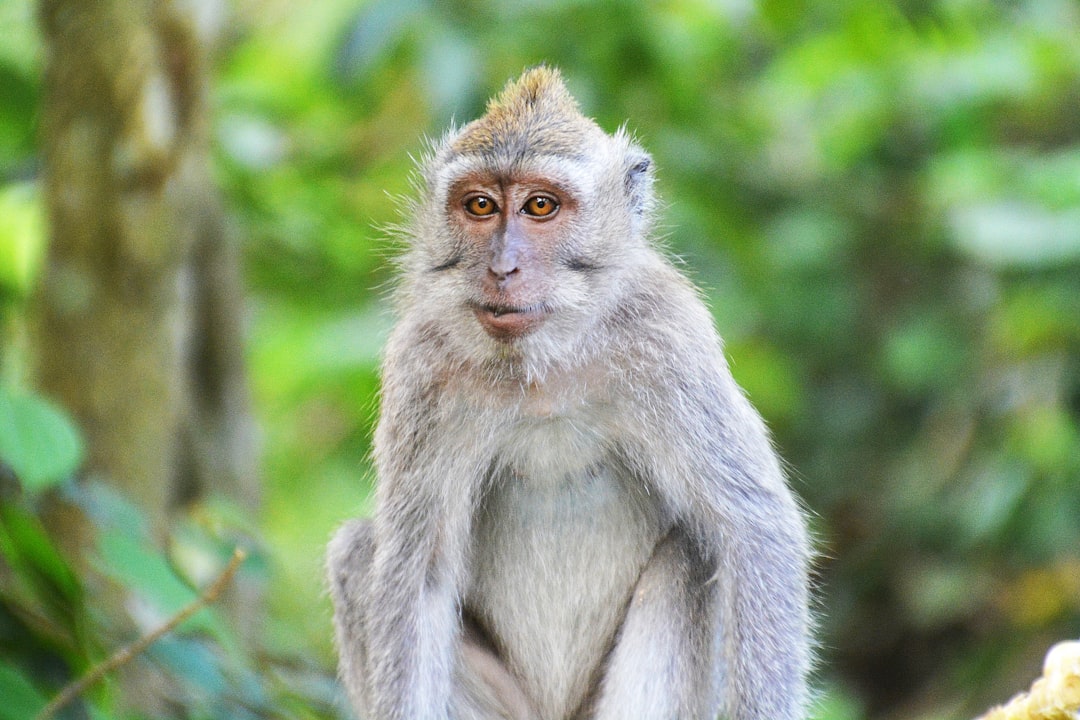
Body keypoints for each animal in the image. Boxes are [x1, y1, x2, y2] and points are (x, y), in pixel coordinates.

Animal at [324, 67, 812, 720]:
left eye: (540, 206)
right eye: (480, 205)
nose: (502, 269)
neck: (543, 369)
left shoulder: (668, 338)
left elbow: (753, 528)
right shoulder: (420, 369)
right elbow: (416, 570)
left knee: (694, 550)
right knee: (358, 553)